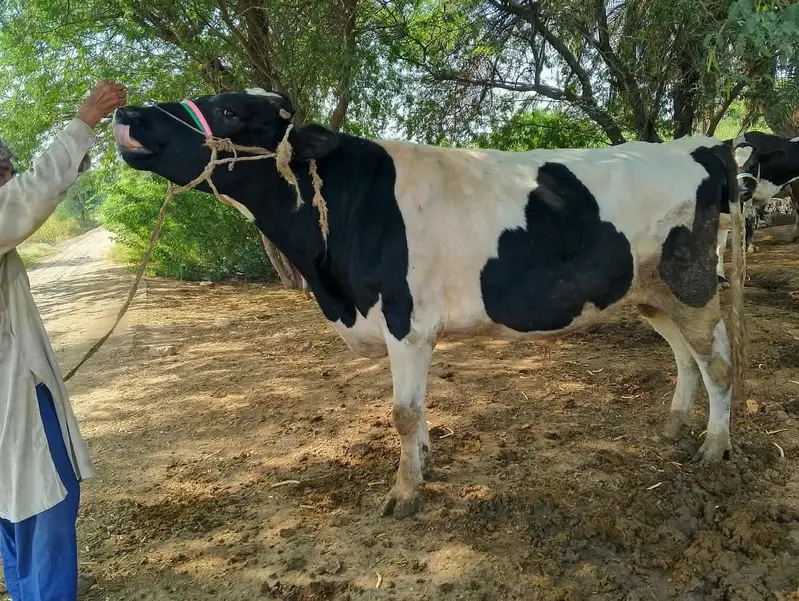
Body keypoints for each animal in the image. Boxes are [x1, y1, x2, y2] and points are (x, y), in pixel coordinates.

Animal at [112, 90, 745, 518]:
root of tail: (698, 147)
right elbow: (416, 411)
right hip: (649, 292)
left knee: (717, 363)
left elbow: (402, 411)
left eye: (231, 112)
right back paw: (673, 425)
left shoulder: (406, 321)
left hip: (689, 282)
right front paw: (424, 462)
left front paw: (404, 491)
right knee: (685, 356)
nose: (128, 114)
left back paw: (714, 446)